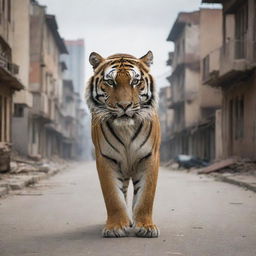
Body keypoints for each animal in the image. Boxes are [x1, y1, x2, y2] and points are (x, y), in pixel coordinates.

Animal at [86, 50, 160, 238]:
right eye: (110, 82)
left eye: (135, 81)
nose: (124, 106)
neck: (126, 129)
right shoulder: (106, 159)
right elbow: (113, 196)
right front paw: (116, 226)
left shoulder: (149, 157)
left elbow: (146, 196)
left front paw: (146, 227)